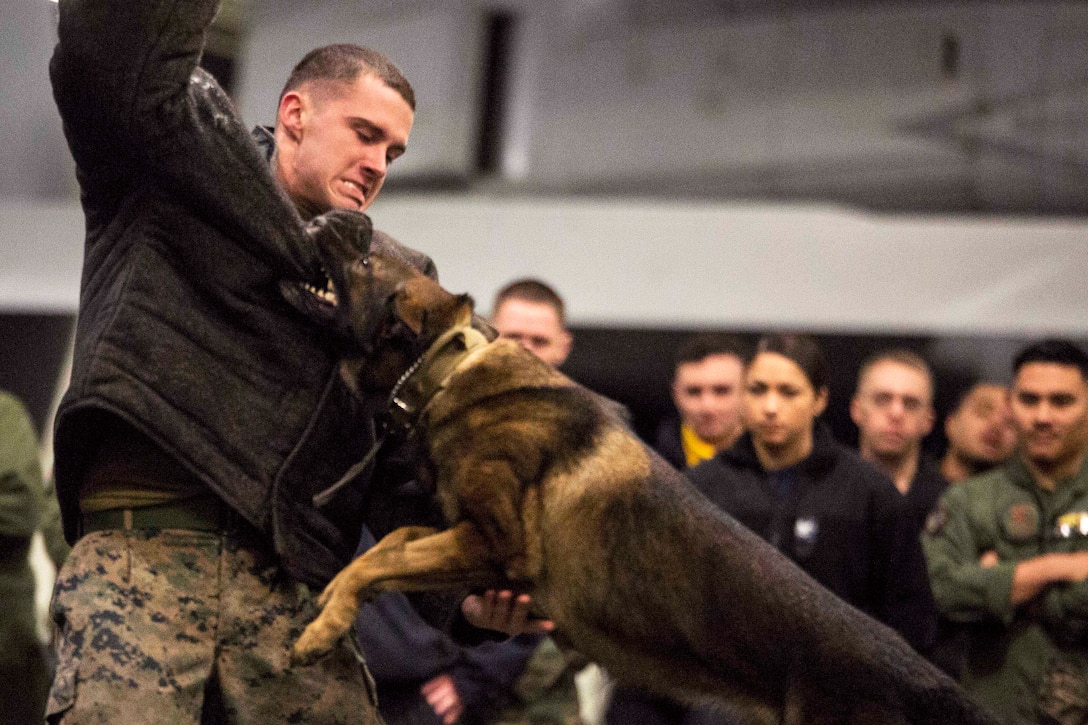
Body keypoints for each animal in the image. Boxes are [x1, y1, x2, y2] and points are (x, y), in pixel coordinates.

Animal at [282, 210, 996, 722]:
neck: (447, 368)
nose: (339, 213)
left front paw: (322, 628)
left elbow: (378, 561)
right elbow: (389, 547)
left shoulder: (495, 543)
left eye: (366, 258)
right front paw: (330, 607)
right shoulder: (457, 533)